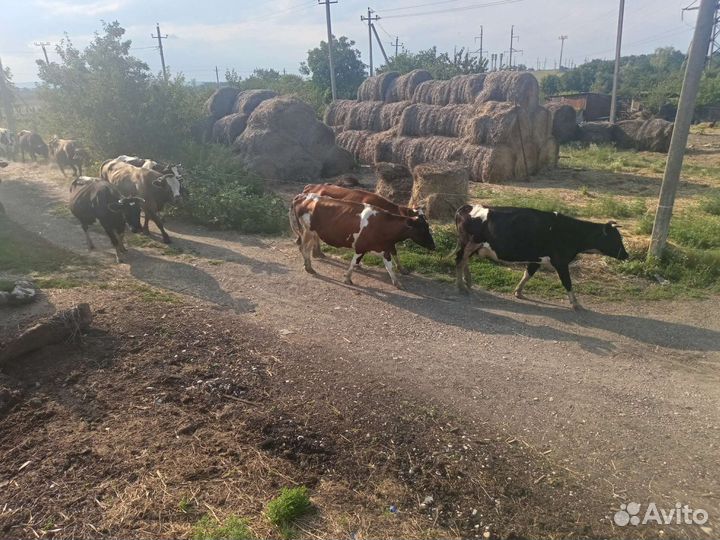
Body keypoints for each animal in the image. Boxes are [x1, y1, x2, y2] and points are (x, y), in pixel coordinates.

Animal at [290, 193, 435, 289]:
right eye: (423, 229)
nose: (434, 246)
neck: (383, 225)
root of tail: (304, 196)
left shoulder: (385, 247)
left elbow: (389, 267)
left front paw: (397, 282)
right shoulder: (361, 247)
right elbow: (354, 263)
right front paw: (347, 278)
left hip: (312, 233)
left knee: (305, 248)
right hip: (307, 231)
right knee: (304, 248)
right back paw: (309, 268)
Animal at [454, 204, 630, 309]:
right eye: (615, 238)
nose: (626, 255)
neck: (571, 231)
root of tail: (467, 207)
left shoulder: (536, 259)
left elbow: (527, 274)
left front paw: (518, 292)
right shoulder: (561, 262)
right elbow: (567, 282)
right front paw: (576, 304)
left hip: (473, 246)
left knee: (464, 261)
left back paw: (467, 282)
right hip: (468, 243)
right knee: (459, 260)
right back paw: (461, 286)